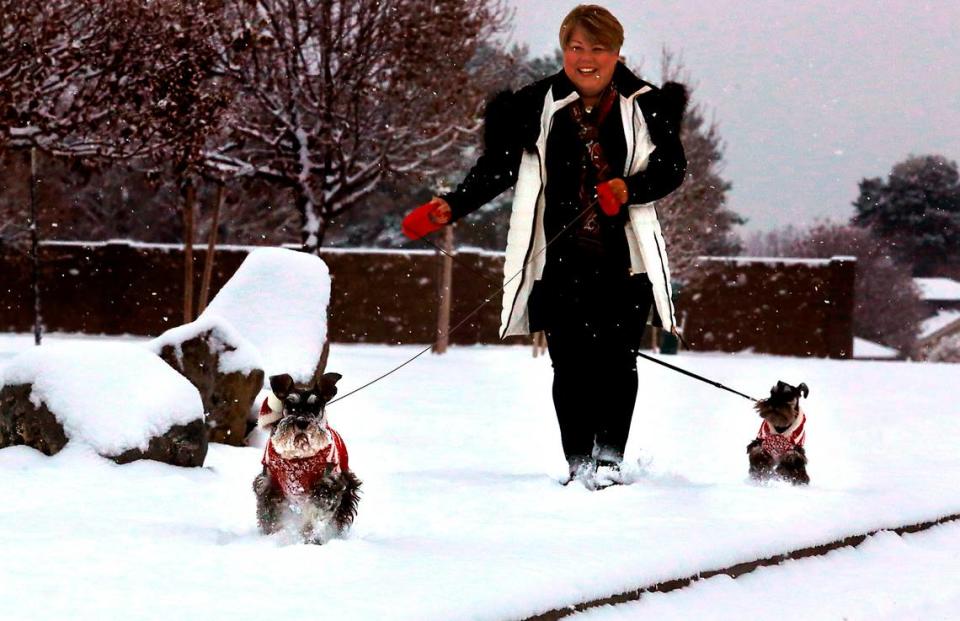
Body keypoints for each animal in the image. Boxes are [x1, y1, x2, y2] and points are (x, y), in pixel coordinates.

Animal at [253, 370, 362, 540]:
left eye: (315, 407)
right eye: (290, 404)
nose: (302, 422)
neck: (299, 456)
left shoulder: (327, 484)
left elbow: (315, 514)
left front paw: (309, 537)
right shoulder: (268, 483)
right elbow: (270, 515)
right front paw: (274, 534)